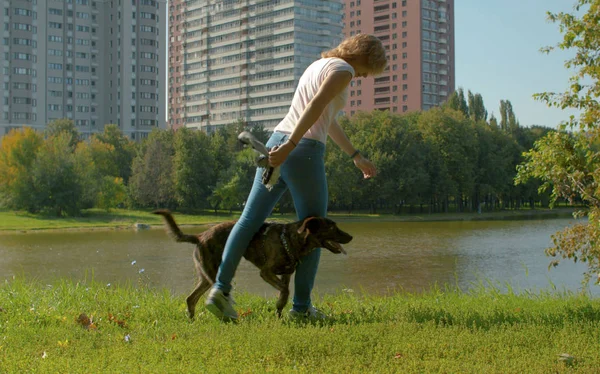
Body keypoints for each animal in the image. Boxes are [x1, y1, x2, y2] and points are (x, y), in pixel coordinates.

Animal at [152, 210, 354, 318]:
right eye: (332, 227)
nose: (351, 236)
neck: (290, 239)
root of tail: (199, 236)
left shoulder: (286, 274)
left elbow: (285, 292)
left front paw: (279, 313)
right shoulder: (266, 272)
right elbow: (285, 291)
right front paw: (279, 306)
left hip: (205, 276)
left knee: (190, 298)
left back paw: (192, 320)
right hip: (214, 272)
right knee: (207, 293)